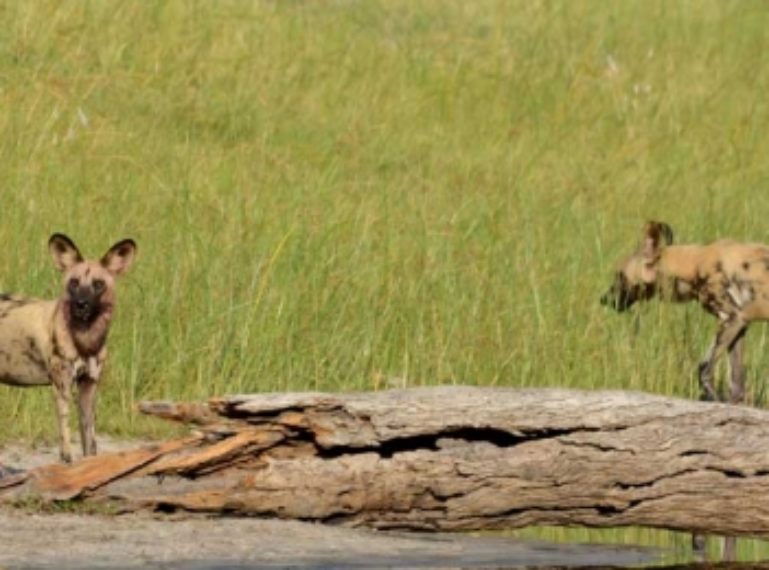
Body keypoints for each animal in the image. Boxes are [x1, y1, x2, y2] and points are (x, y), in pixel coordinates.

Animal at [0, 234, 135, 462]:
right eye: (74, 283)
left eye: (98, 284)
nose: (81, 304)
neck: (86, 339)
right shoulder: (62, 386)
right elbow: (66, 444)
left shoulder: (88, 387)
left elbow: (90, 442)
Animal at [596, 220, 768, 402]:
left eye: (620, 276)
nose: (603, 299)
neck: (694, 264)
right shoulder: (740, 324)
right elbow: (737, 385)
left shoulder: (732, 318)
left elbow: (703, 369)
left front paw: (711, 397)